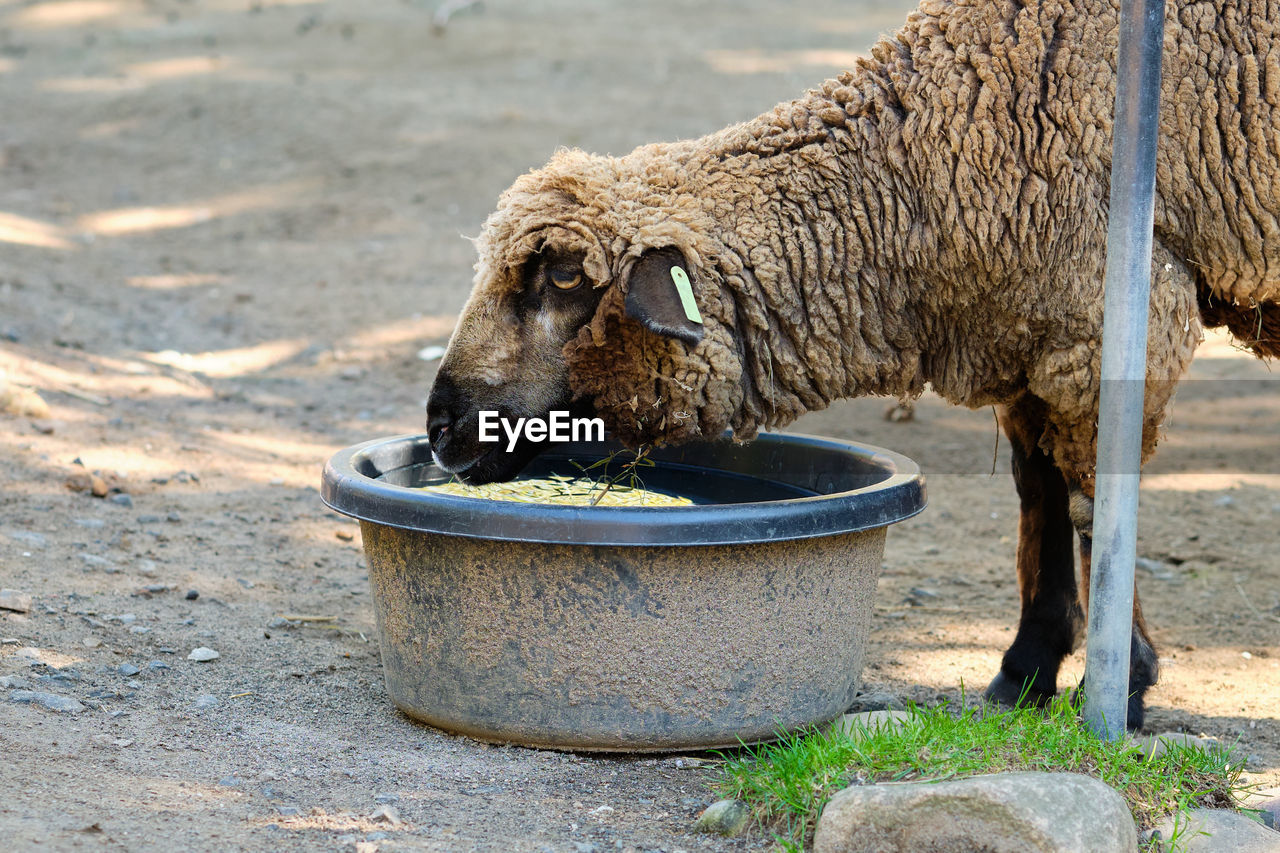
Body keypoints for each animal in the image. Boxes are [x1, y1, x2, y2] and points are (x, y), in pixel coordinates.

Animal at [427, 0, 1280, 732]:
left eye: (564, 276)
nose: (439, 423)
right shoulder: (1033, 335)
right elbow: (1039, 494)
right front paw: (1027, 670)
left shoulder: (1112, 324)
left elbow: (1096, 502)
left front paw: (1123, 684)